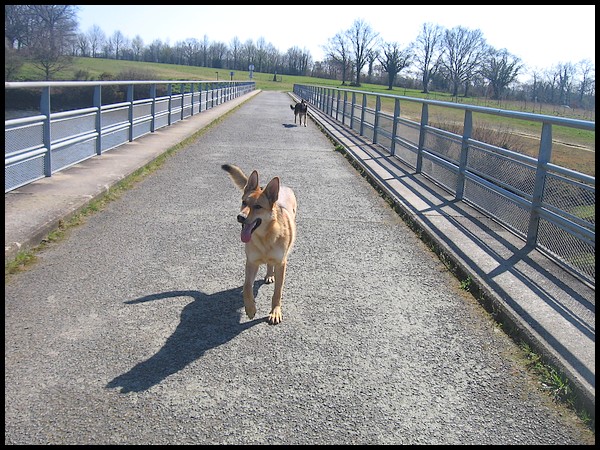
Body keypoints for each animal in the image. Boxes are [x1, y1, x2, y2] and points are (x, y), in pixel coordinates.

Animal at [220, 164, 298, 324]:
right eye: (244, 202)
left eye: (257, 207)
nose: (240, 217)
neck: (265, 236)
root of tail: (283, 187)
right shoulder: (251, 263)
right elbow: (246, 287)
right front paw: (250, 308)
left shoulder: (281, 264)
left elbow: (277, 292)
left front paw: (275, 311)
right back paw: (268, 274)